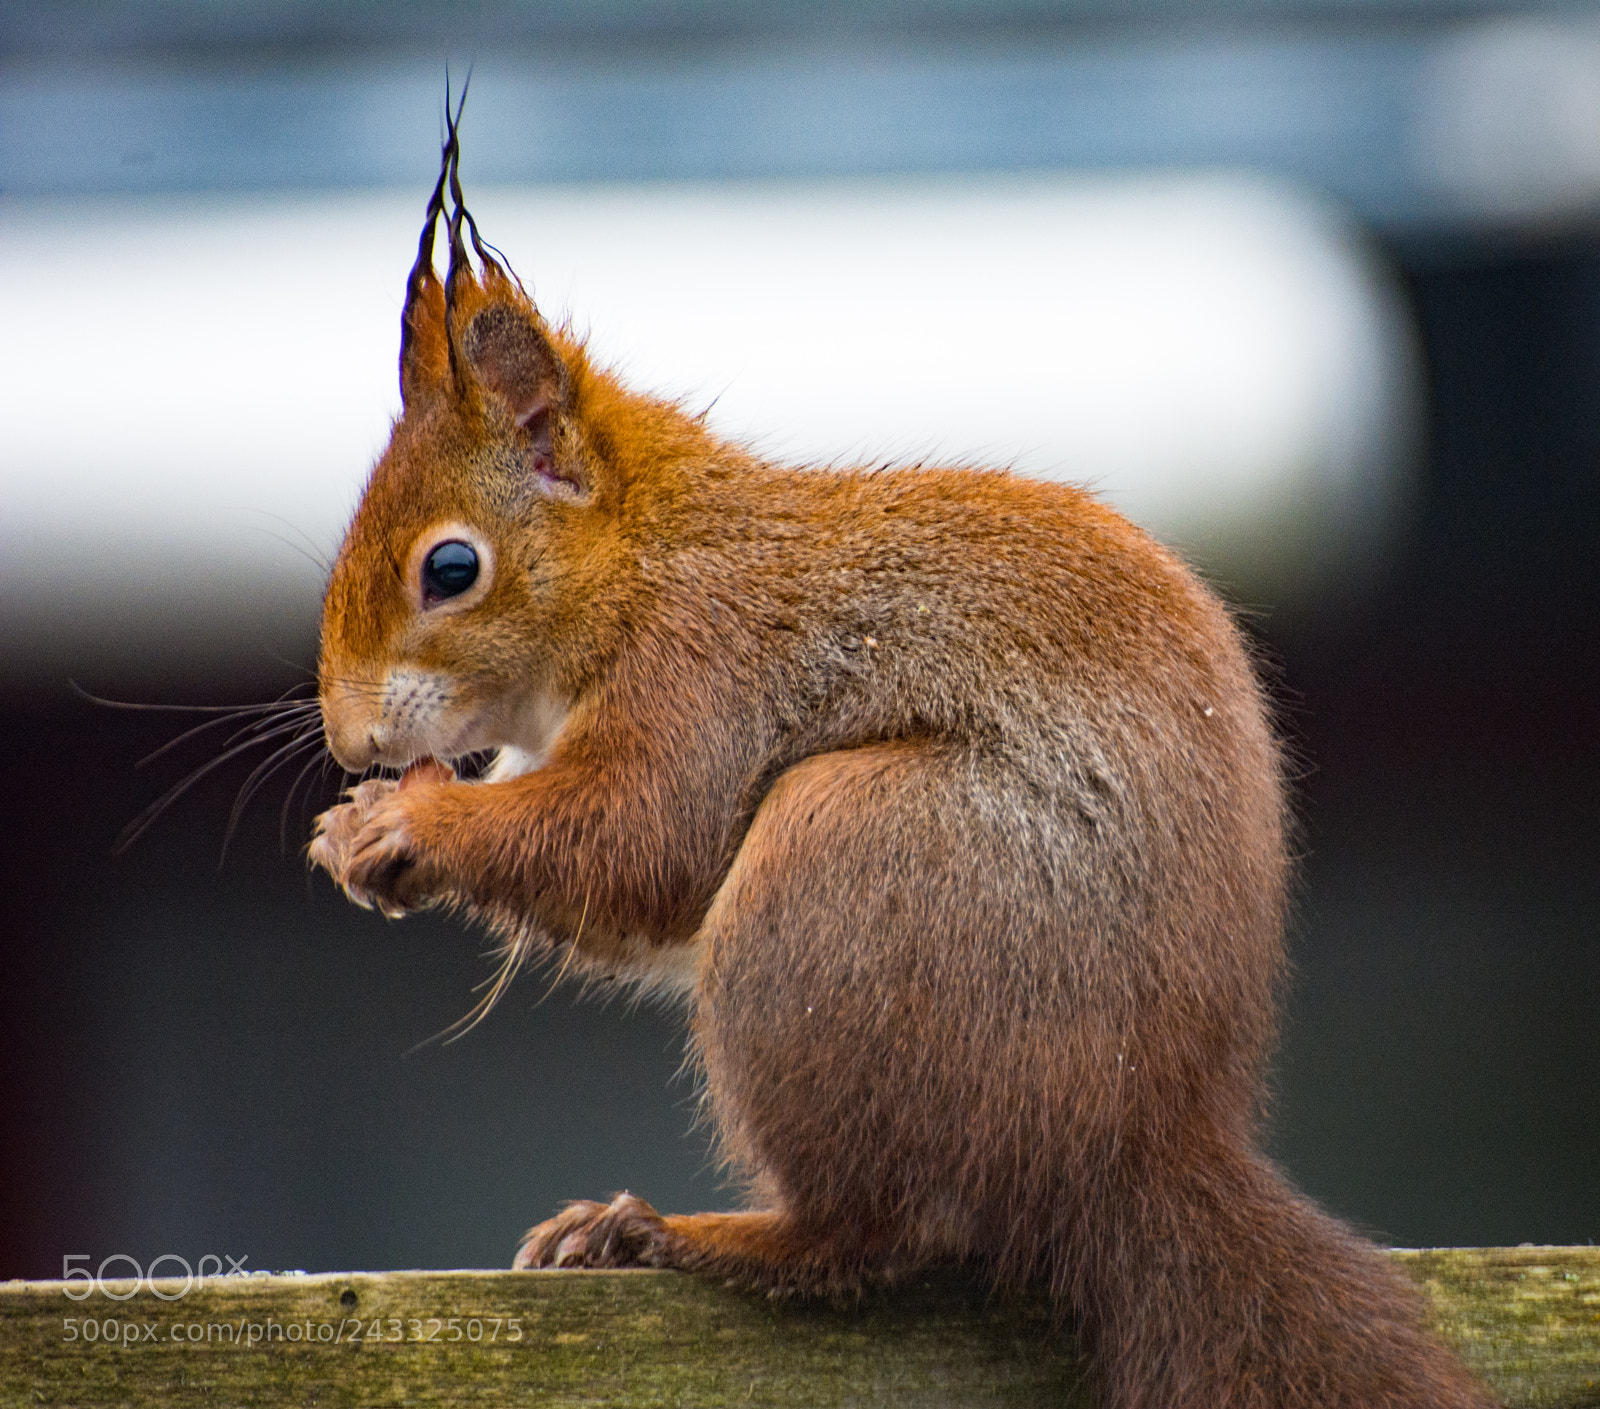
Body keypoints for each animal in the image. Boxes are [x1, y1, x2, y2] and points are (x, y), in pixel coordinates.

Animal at [308, 101, 1494, 1409]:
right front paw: (356, 831)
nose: (350, 737)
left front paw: (404, 824)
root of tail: (1133, 1146)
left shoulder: (706, 668)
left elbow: (640, 837)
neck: (646, 563)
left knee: (861, 1236)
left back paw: (674, 1232)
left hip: (847, 870)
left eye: (450, 567)